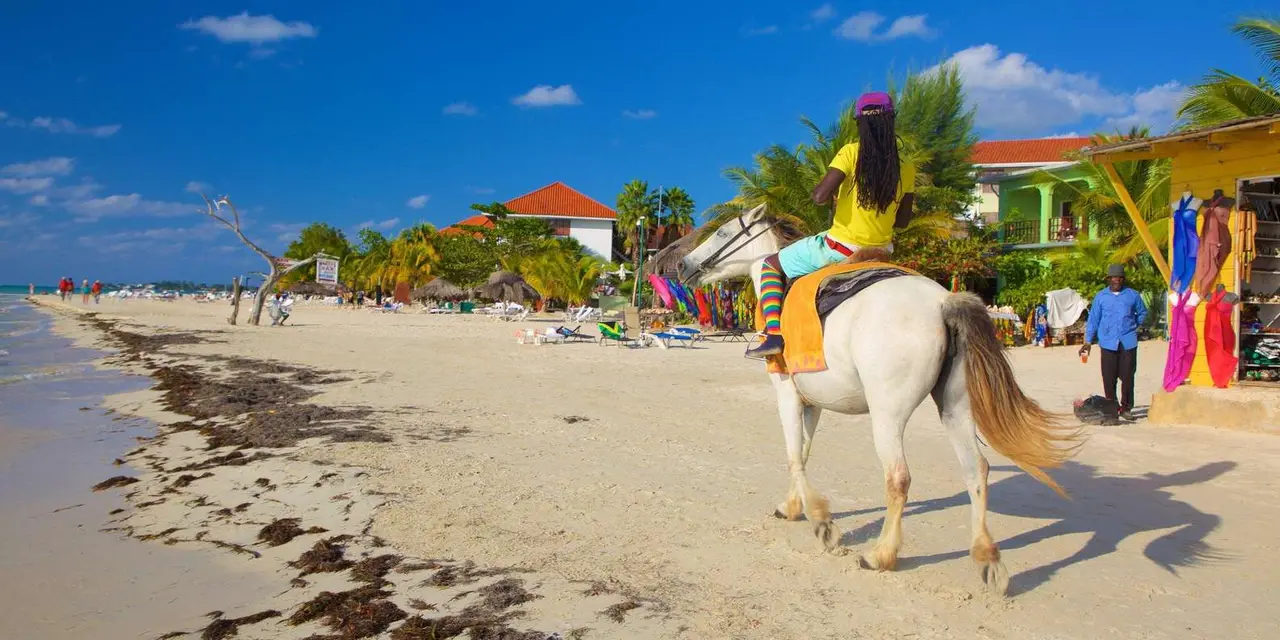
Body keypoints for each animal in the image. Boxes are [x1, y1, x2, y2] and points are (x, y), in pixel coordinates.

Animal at [680, 205, 1081, 595]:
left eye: (721, 231)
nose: (683, 265)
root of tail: (942, 300)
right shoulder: (812, 403)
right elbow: (803, 454)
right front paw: (793, 506)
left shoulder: (787, 393)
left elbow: (794, 455)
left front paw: (822, 521)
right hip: (956, 408)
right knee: (976, 470)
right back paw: (987, 558)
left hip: (887, 415)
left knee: (898, 477)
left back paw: (882, 554)